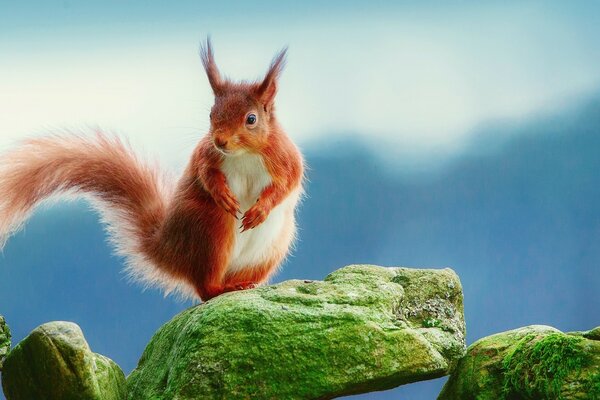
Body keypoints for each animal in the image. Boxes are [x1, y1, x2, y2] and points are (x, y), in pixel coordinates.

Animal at [0, 40, 304, 302]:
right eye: (211, 114)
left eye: (251, 119)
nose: (220, 141)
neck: (244, 154)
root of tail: (168, 250)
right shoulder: (205, 156)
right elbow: (206, 175)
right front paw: (223, 194)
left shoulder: (285, 159)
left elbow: (287, 183)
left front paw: (261, 209)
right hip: (211, 228)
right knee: (205, 288)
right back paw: (222, 287)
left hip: (271, 248)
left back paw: (243, 284)